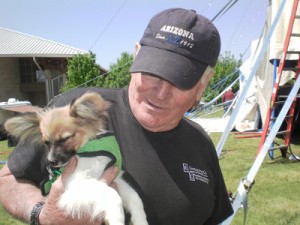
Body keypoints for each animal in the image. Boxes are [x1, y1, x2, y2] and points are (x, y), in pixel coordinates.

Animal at [4, 92, 149, 225]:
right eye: (46, 142)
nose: (51, 161)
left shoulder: (116, 178)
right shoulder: (77, 184)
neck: (88, 150)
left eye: (65, 139)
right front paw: (116, 219)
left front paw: (141, 221)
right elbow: (113, 195)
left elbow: (136, 199)